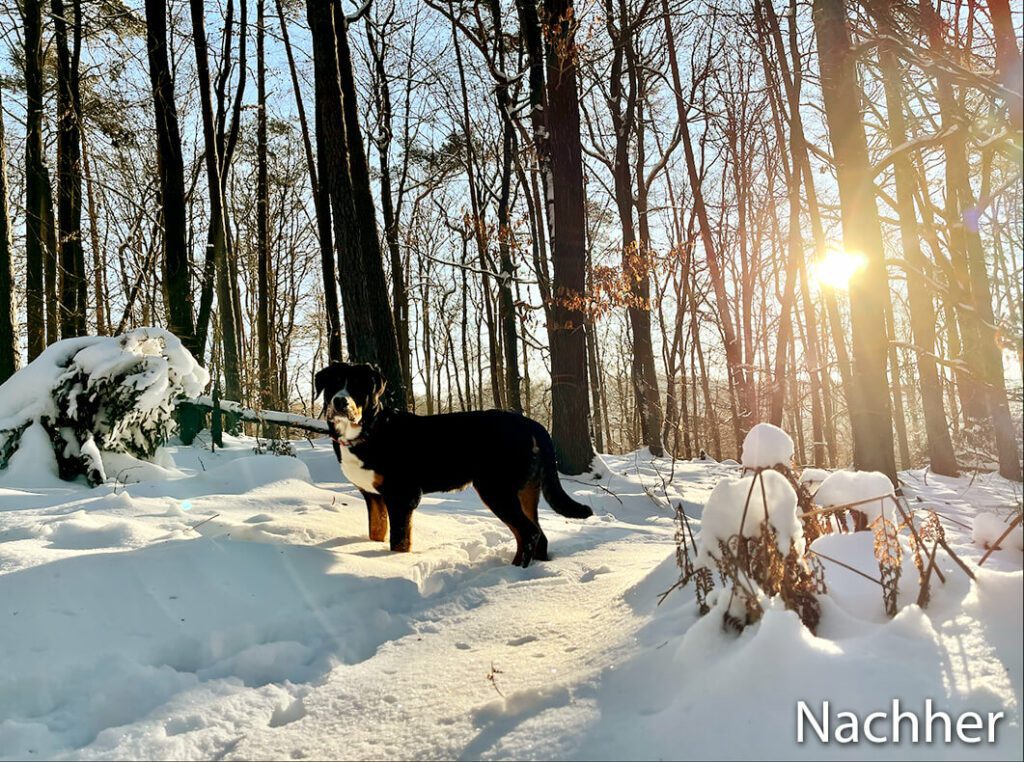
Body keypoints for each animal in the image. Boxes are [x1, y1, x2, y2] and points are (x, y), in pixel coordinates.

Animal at [311, 362, 593, 565]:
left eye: (359, 387)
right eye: (333, 384)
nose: (340, 401)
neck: (370, 431)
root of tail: (531, 423)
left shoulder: (402, 495)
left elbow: (399, 541)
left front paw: (394, 564)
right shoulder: (373, 495)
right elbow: (376, 531)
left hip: (496, 489)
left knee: (529, 533)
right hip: (525, 491)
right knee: (538, 535)